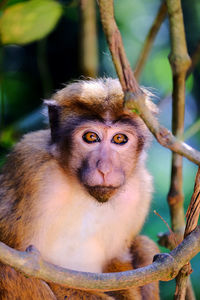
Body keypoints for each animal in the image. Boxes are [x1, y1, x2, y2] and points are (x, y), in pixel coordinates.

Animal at [0, 78, 159, 298]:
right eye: (91, 137)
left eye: (119, 139)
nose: (105, 168)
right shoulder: (32, 170)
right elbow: (28, 265)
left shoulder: (139, 191)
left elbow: (117, 261)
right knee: (10, 271)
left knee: (145, 244)